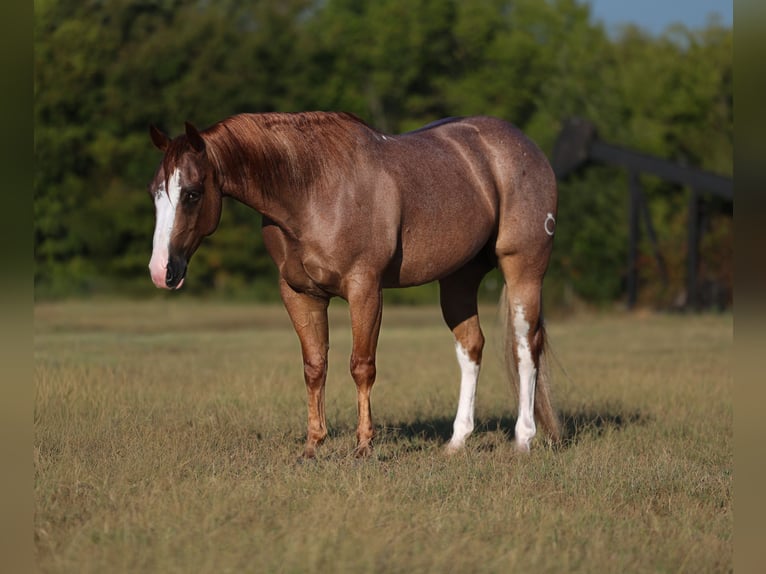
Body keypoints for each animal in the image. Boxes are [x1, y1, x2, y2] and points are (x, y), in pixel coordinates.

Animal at [147, 112, 561, 458]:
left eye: (192, 193)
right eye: (156, 192)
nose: (161, 270)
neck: (312, 189)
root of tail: (526, 146)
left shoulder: (365, 290)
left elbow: (361, 366)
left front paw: (363, 446)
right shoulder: (300, 295)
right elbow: (315, 366)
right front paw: (313, 445)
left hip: (523, 269)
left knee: (525, 346)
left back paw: (524, 439)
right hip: (458, 279)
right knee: (471, 347)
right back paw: (457, 442)